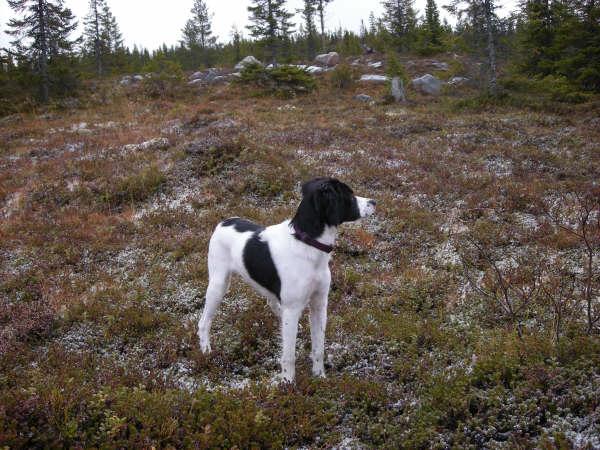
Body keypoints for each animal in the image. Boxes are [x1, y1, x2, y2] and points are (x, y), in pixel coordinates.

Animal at [197, 177, 376, 382]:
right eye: (349, 195)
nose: (374, 202)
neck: (307, 242)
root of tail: (224, 221)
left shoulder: (319, 304)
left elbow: (318, 348)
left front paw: (319, 377)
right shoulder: (293, 309)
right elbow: (289, 355)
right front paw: (288, 383)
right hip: (218, 285)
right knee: (203, 322)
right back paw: (207, 352)